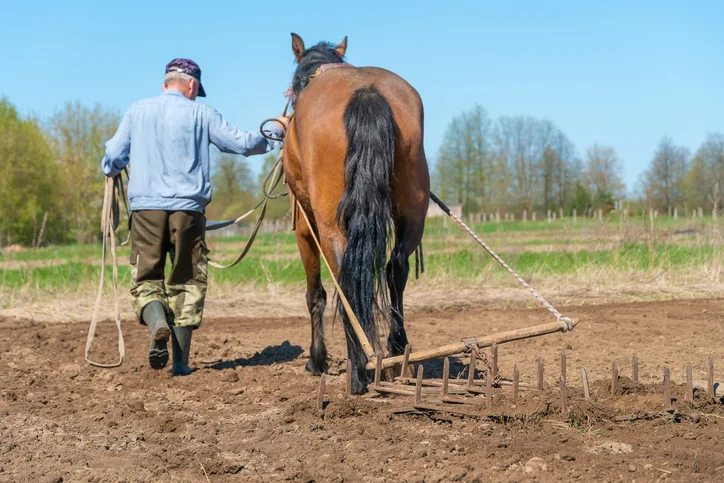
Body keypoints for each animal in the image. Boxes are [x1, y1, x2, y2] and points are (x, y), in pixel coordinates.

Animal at [282, 32, 430, 396]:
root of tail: (366, 91)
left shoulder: (304, 229)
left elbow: (315, 295)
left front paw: (316, 360)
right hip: (413, 212)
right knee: (395, 269)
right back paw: (395, 352)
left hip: (329, 225)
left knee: (345, 282)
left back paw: (358, 372)